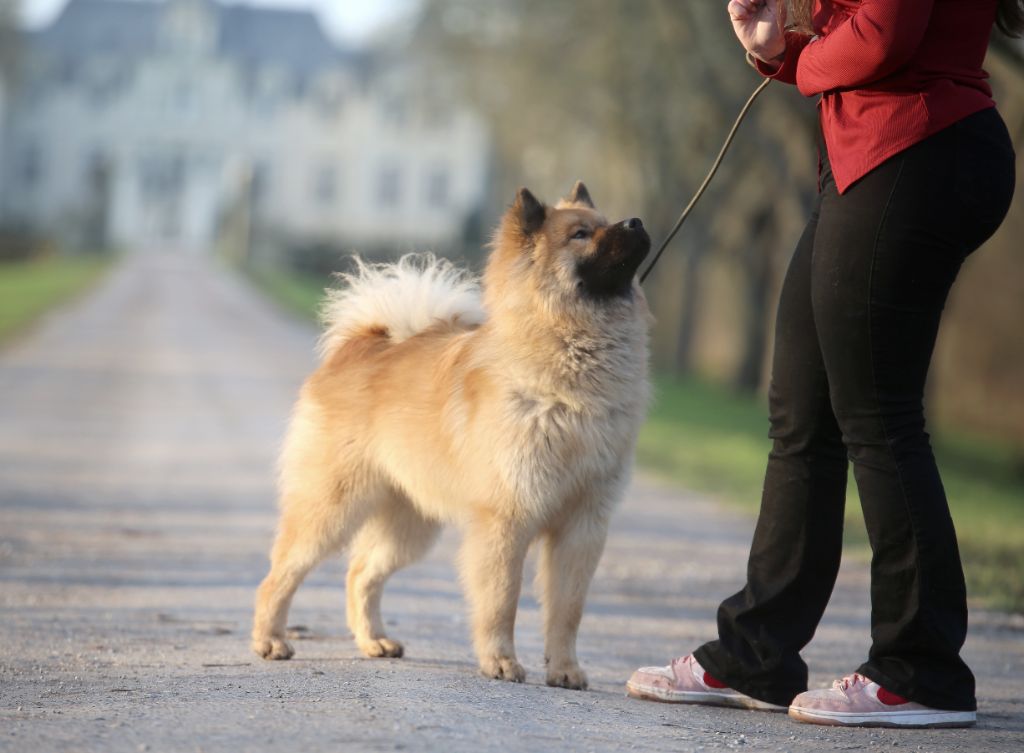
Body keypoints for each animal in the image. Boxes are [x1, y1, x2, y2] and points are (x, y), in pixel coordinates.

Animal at [250, 184, 647, 688]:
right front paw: (500, 661)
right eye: (580, 234)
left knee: (361, 572)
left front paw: (565, 670)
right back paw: (270, 640)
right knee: (281, 572)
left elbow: (567, 610)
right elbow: (502, 599)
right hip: (332, 506)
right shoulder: (507, 518)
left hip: (410, 523)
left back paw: (374, 641)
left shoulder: (583, 524)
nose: (636, 222)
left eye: (607, 221)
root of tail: (362, 345)